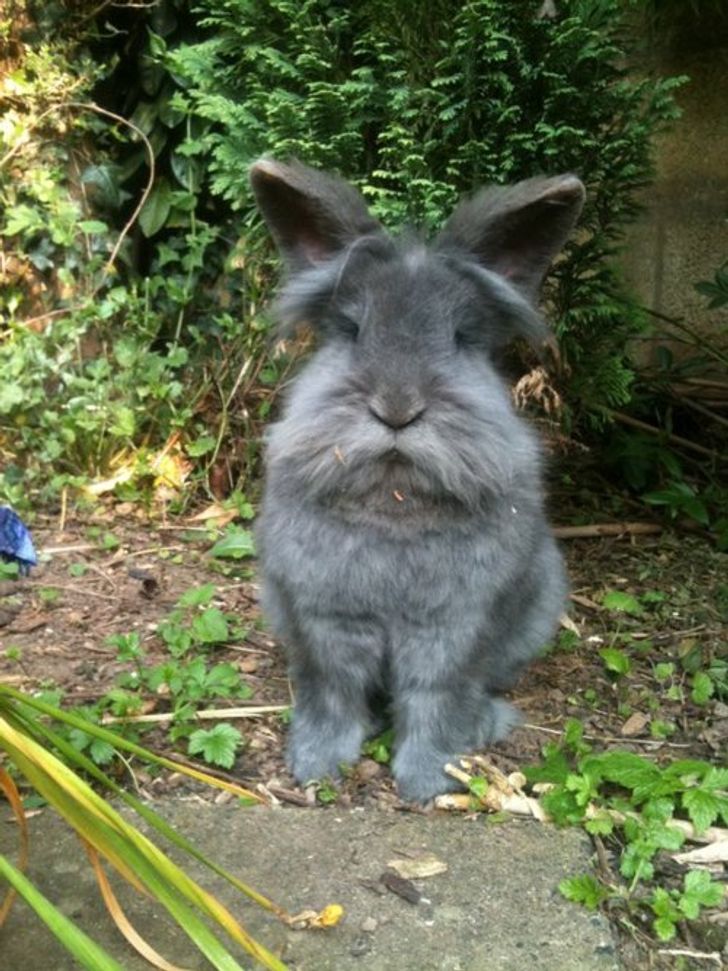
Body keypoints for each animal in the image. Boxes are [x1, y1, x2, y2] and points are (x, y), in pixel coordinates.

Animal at [250, 156, 584, 800]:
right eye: (351, 331)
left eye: (461, 338)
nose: (397, 410)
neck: (393, 501)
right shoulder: (324, 620)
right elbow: (333, 694)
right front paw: (316, 766)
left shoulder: (455, 629)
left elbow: (436, 700)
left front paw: (429, 781)